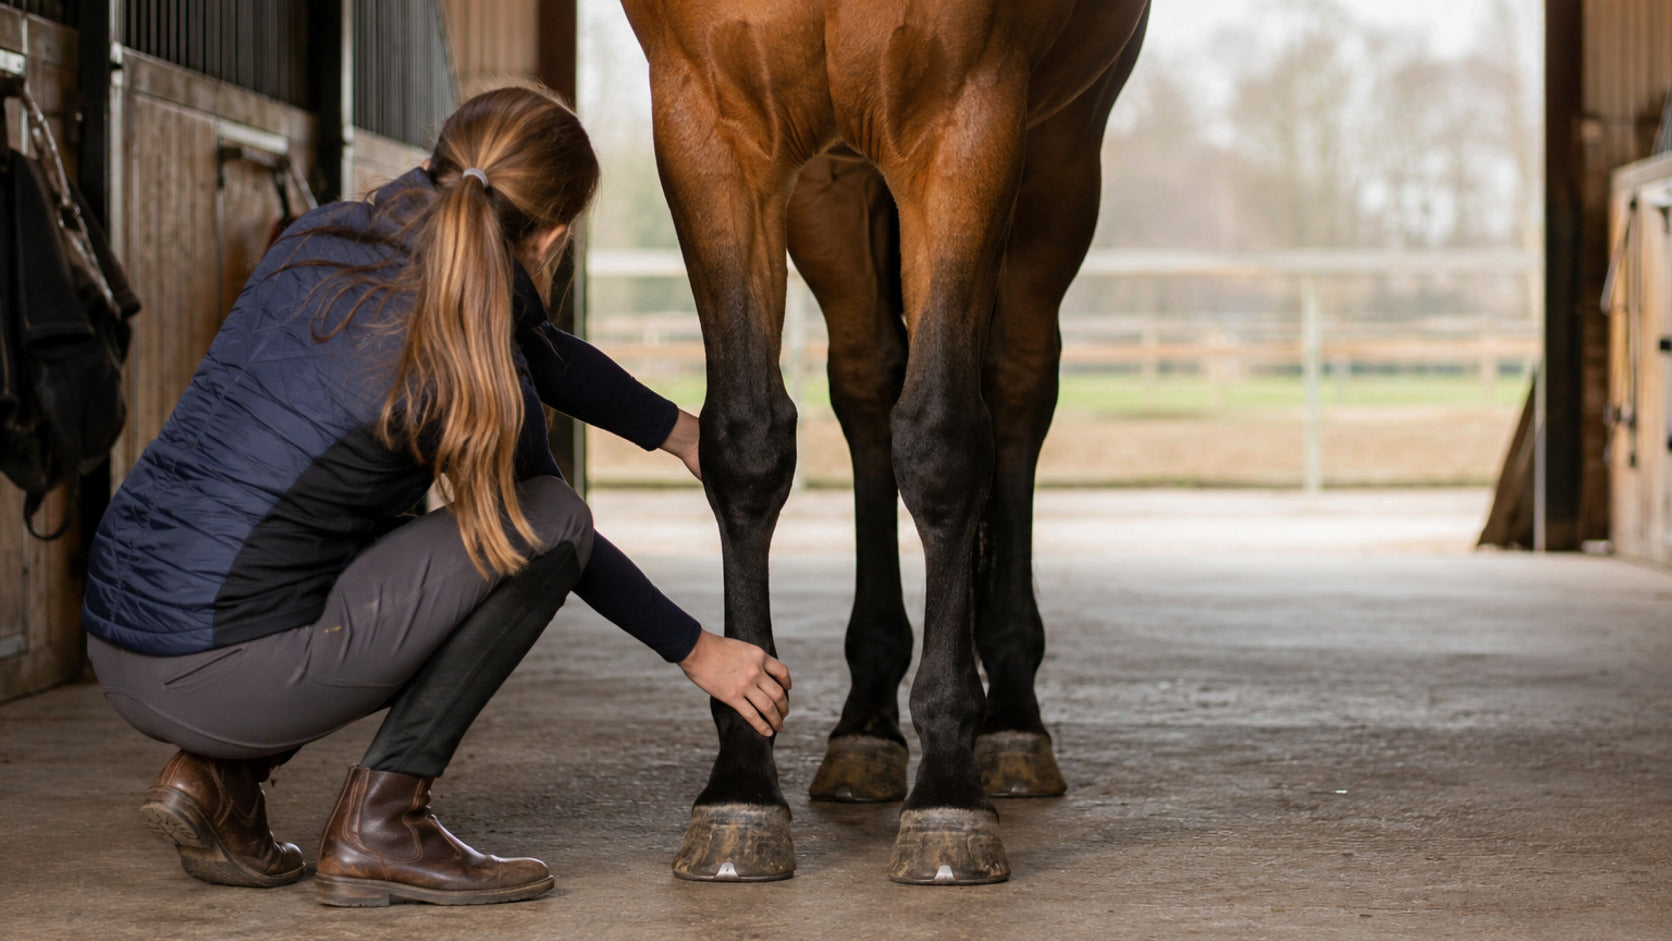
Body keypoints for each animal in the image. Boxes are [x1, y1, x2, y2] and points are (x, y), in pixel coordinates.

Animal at [620, 0, 1151, 884]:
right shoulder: (709, 124)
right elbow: (746, 440)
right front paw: (741, 783)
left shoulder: (965, 120)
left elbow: (941, 444)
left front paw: (949, 792)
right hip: (832, 190)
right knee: (869, 385)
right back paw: (864, 723)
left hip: (1061, 155)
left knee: (1014, 389)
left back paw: (1010, 719)